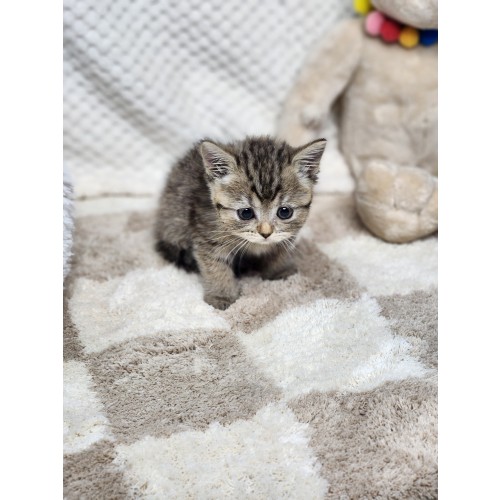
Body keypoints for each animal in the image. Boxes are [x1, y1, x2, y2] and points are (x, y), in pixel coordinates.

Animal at [154, 136, 326, 310]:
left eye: (285, 212)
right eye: (246, 213)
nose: (266, 233)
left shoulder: (286, 235)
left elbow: (279, 250)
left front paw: (280, 271)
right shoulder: (206, 234)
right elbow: (216, 266)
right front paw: (221, 295)